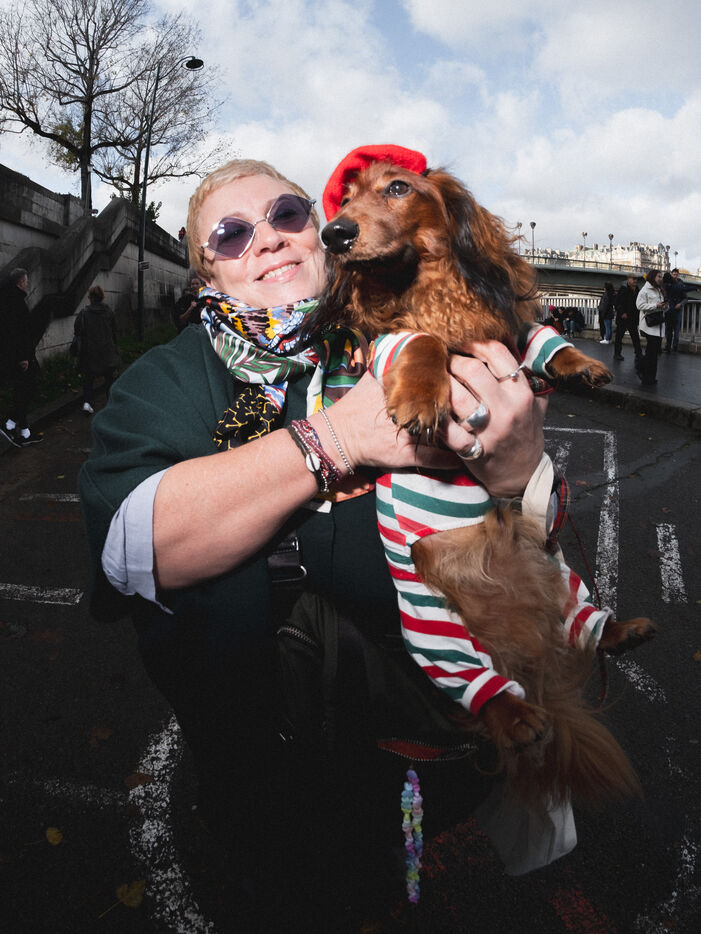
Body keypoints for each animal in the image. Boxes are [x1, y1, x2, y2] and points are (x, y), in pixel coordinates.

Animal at [308, 145, 656, 807]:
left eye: (398, 188)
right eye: (345, 199)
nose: (333, 234)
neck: (430, 285)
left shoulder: (509, 330)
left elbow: (543, 336)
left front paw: (584, 364)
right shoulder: (393, 341)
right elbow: (418, 340)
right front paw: (422, 395)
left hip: (563, 572)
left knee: (583, 626)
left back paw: (621, 630)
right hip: (430, 624)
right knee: (479, 685)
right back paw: (514, 715)